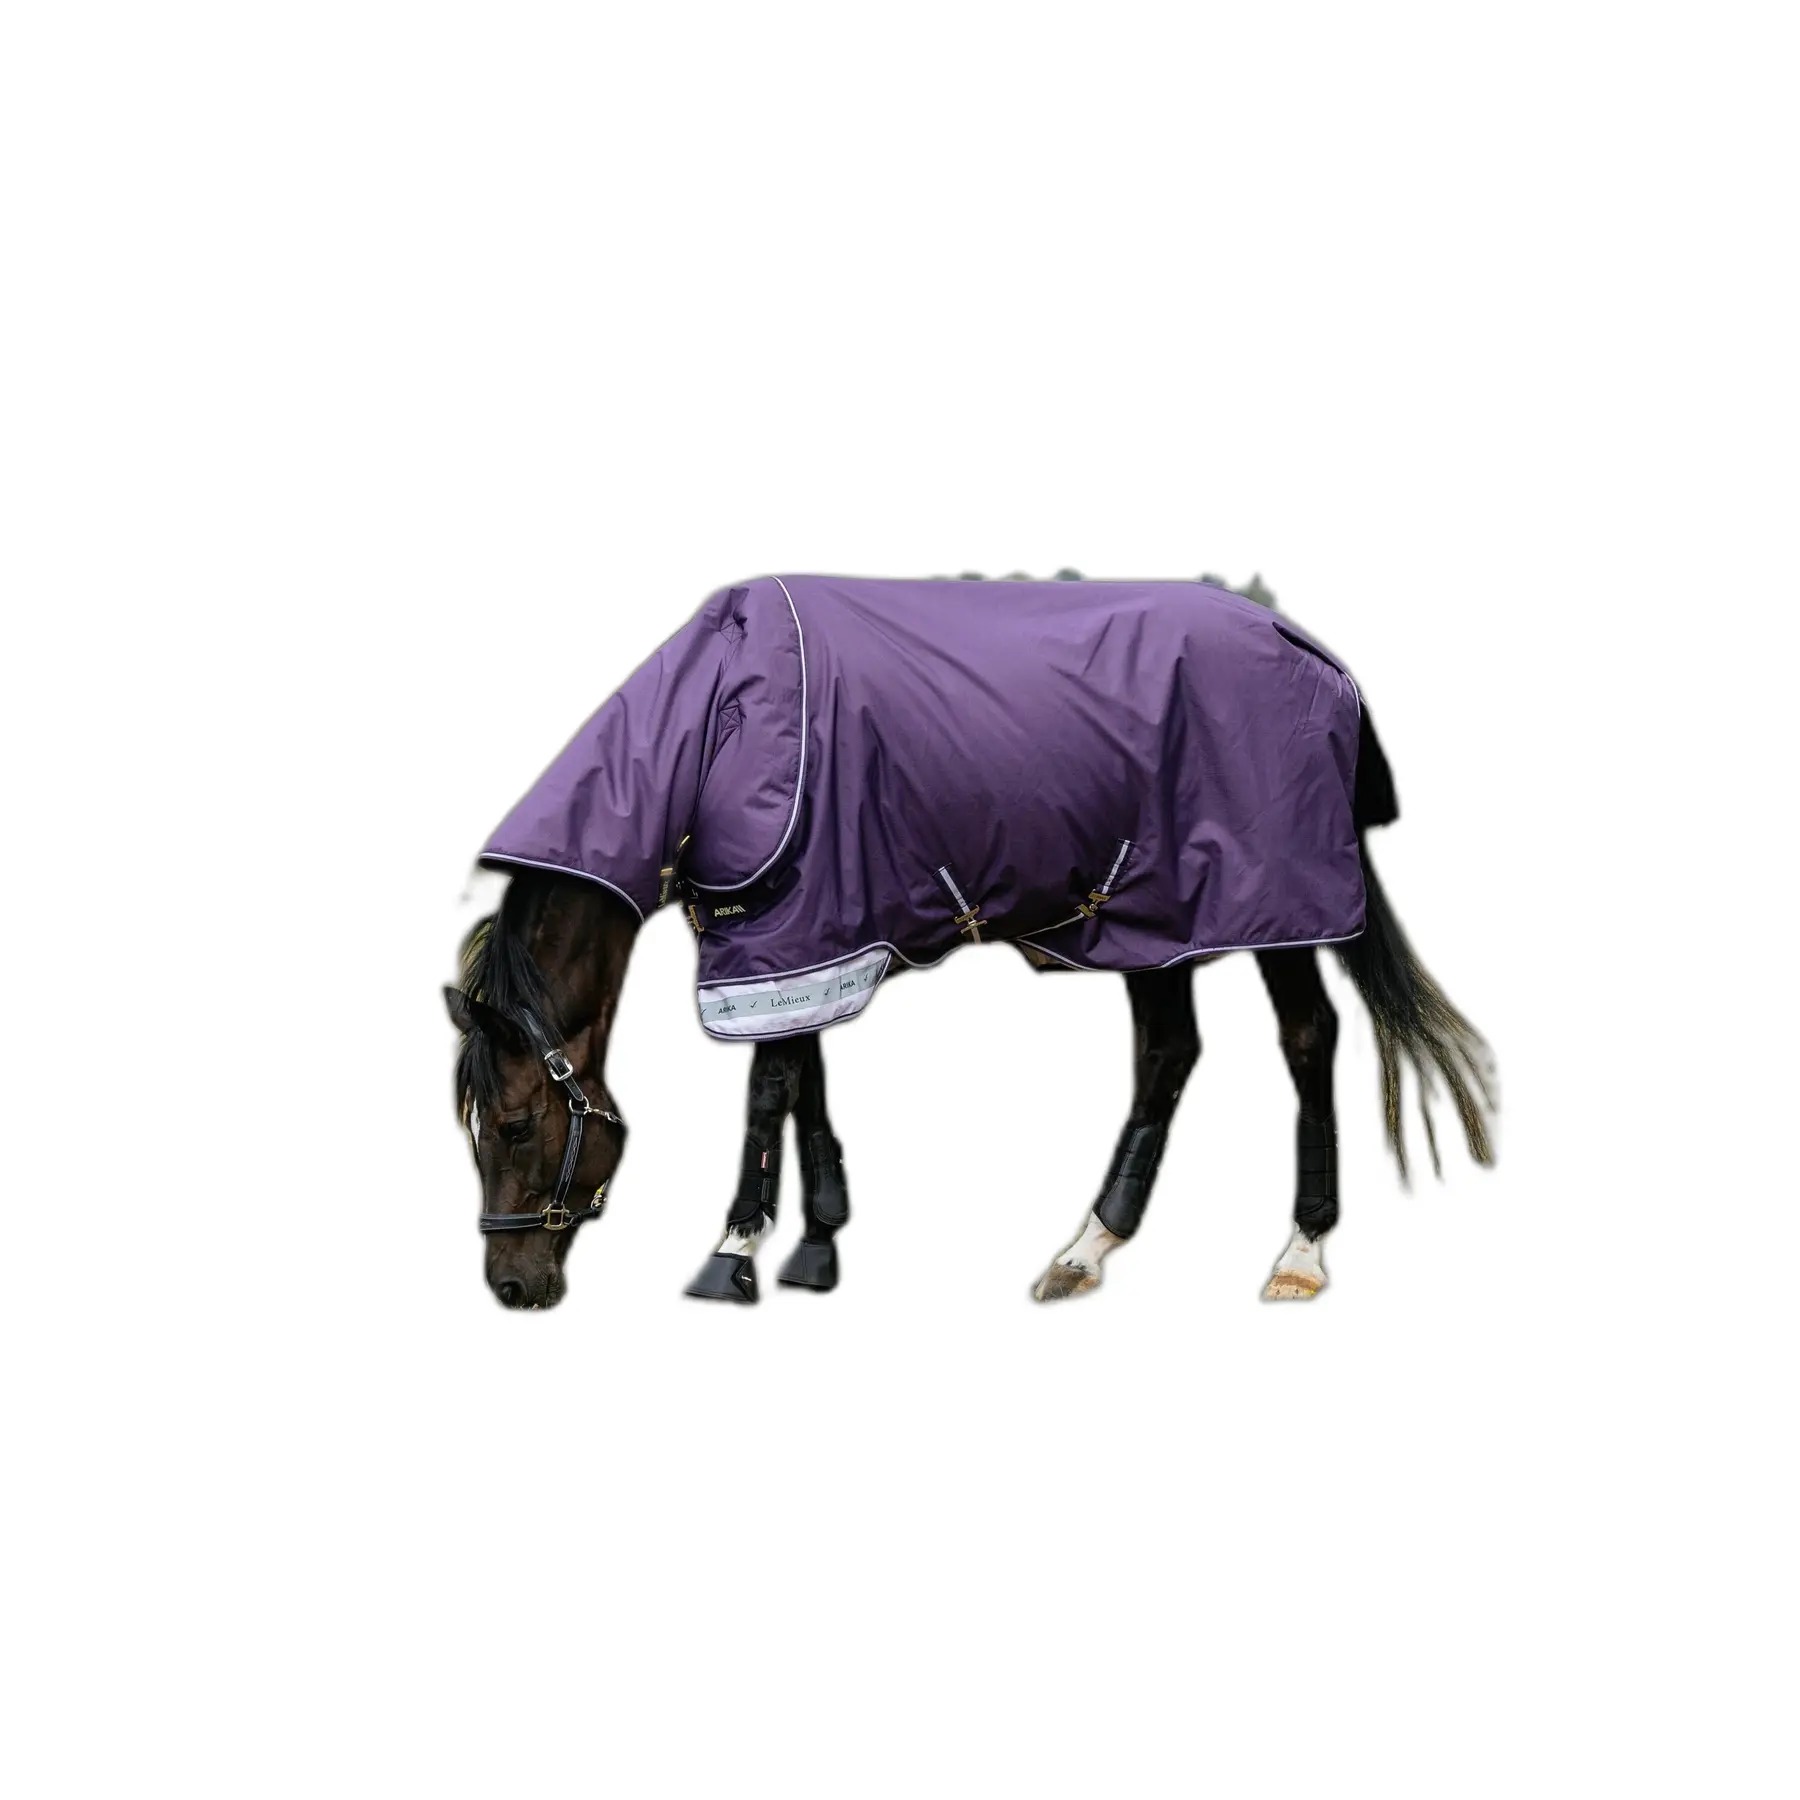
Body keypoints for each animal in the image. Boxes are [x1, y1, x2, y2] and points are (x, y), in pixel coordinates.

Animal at [446, 572, 1494, 1310]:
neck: (715, 720)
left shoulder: (792, 924)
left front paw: (731, 1253)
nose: (511, 1286)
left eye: (515, 1124)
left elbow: (768, 1089)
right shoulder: (813, 936)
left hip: (1278, 904)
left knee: (1309, 1039)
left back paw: (1300, 1253)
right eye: (470, 1130)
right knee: (1169, 1051)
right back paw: (1087, 1247)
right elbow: (806, 1079)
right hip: (1152, 918)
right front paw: (816, 1246)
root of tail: (1312, 652)